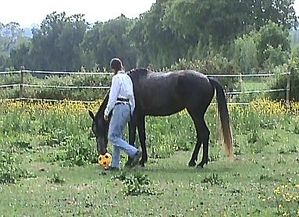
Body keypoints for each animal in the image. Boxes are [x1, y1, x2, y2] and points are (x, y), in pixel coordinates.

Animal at [89, 68, 234, 169]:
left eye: (98, 129)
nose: (102, 152)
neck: (129, 83)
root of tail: (207, 79)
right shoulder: (141, 117)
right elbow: (142, 137)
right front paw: (143, 160)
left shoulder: (134, 118)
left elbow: (132, 138)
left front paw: (131, 162)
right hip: (197, 115)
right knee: (201, 135)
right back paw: (193, 161)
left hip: (196, 114)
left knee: (204, 133)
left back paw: (201, 162)